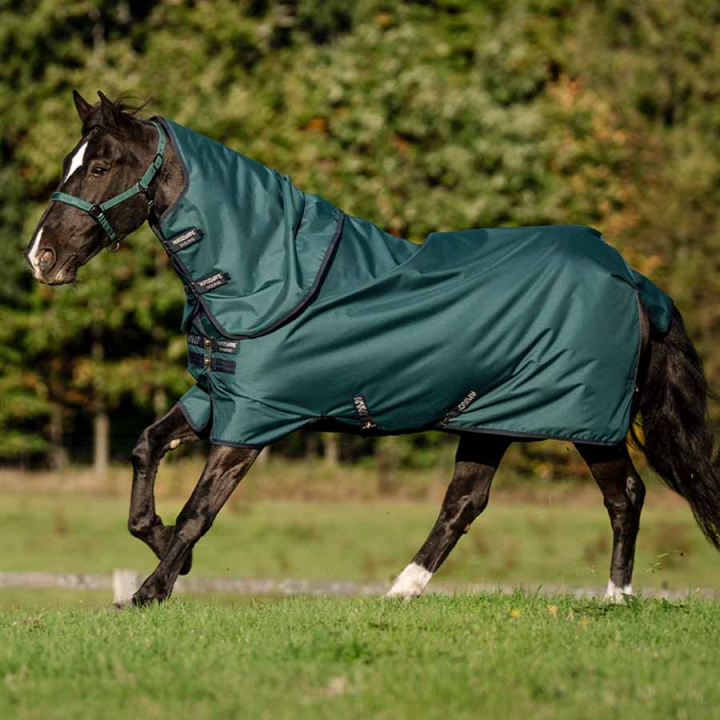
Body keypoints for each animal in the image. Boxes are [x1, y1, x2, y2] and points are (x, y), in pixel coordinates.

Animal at [25, 90, 720, 606]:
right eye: (68, 161)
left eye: (100, 165)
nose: (41, 258)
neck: (267, 275)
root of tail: (632, 278)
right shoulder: (216, 394)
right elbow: (145, 448)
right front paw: (165, 546)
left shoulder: (254, 419)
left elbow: (201, 508)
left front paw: (152, 590)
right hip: (492, 416)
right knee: (465, 502)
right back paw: (400, 592)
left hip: (585, 421)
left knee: (624, 495)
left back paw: (615, 598)